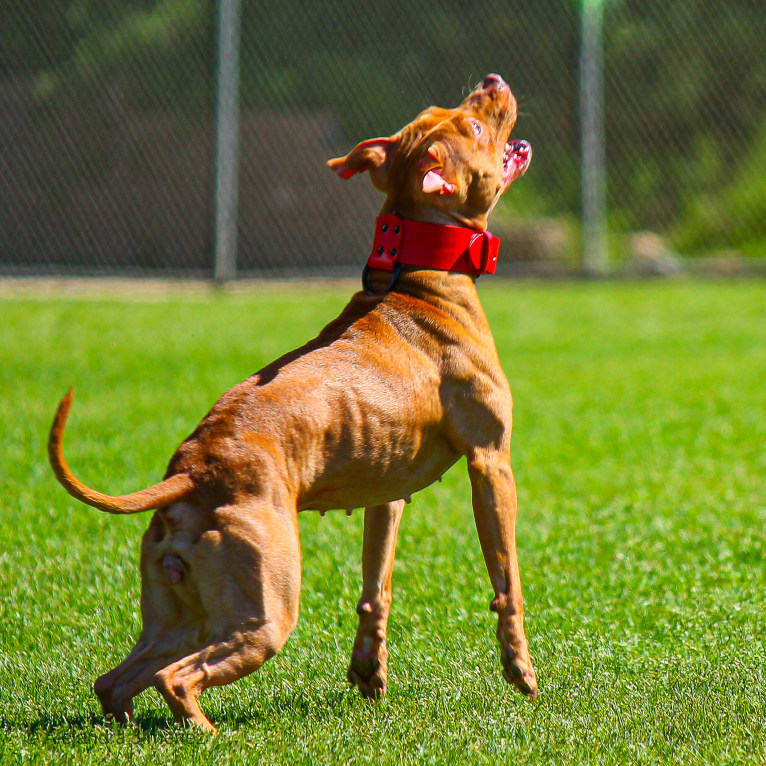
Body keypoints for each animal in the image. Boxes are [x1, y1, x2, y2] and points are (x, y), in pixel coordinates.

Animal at [48, 75, 540, 736]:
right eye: (476, 126)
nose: (493, 81)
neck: (420, 279)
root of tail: (193, 472)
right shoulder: (491, 463)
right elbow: (506, 579)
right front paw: (520, 670)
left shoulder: (389, 494)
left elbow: (376, 585)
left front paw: (369, 672)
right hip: (265, 610)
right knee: (175, 679)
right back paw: (208, 734)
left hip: (181, 614)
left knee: (118, 679)